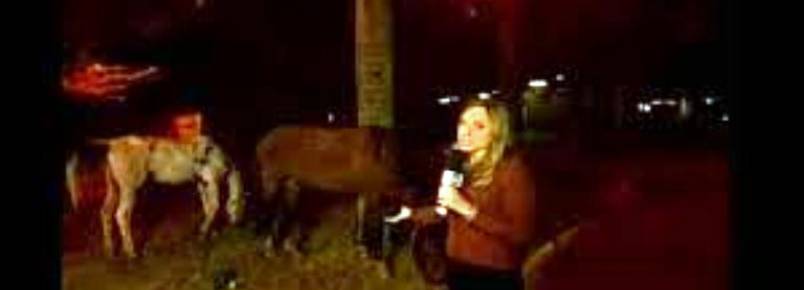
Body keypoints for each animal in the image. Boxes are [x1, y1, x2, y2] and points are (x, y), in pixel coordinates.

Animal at [66, 135, 243, 258]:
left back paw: (109, 251)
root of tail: (113, 143)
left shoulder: (202, 183)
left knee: (105, 213)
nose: (237, 224)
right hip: (129, 188)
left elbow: (207, 207)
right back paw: (132, 253)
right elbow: (214, 206)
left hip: (114, 188)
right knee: (121, 215)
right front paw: (204, 233)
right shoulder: (211, 181)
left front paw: (209, 234)